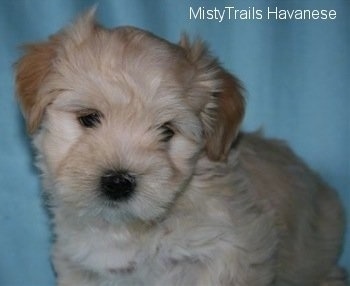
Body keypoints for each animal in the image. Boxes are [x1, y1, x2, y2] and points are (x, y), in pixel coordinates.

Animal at [15, 8, 346, 286]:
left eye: (166, 131)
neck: (128, 228)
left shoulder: (230, 253)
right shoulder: (81, 266)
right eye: (89, 118)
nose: (118, 182)